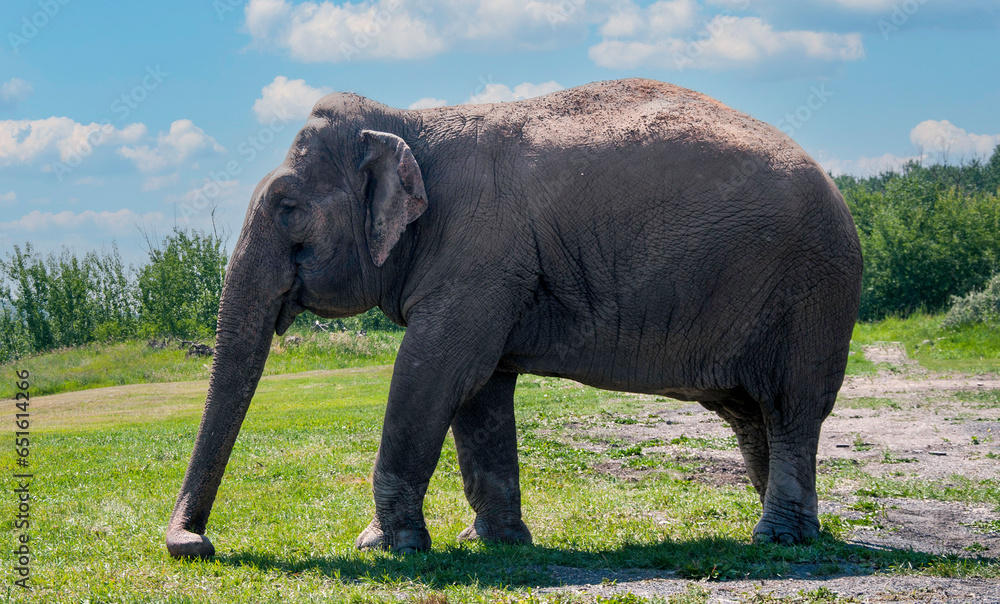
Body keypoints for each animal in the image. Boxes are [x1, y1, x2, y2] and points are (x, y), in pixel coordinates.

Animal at [165, 78, 862, 558]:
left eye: (287, 207)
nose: (193, 546)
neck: (408, 121)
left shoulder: (479, 257)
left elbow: (434, 370)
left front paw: (383, 548)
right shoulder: (488, 273)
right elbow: (480, 391)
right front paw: (494, 543)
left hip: (812, 295)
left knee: (791, 407)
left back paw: (777, 541)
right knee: (751, 416)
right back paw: (800, 532)